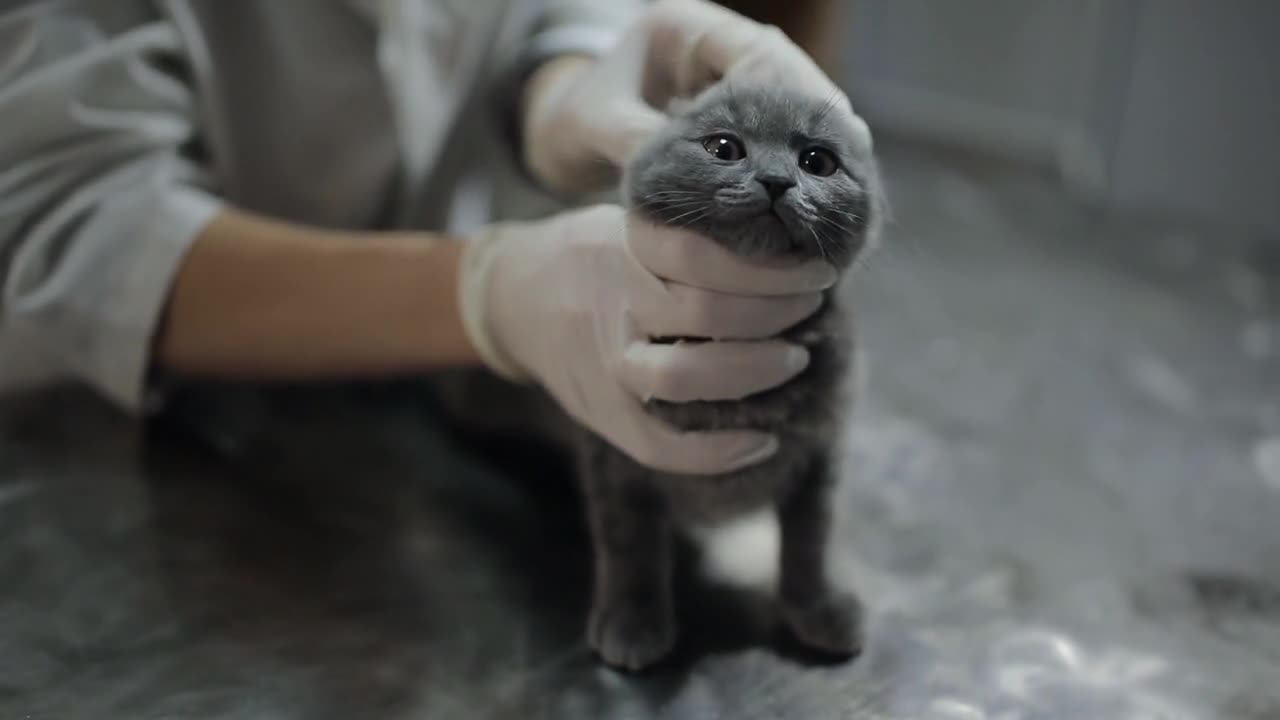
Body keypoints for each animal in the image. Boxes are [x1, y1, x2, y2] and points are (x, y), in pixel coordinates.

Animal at [581, 81, 880, 671]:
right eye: (724, 147)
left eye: (817, 161)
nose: (777, 180)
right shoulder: (616, 446)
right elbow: (628, 538)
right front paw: (632, 618)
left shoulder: (822, 448)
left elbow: (812, 539)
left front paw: (819, 607)